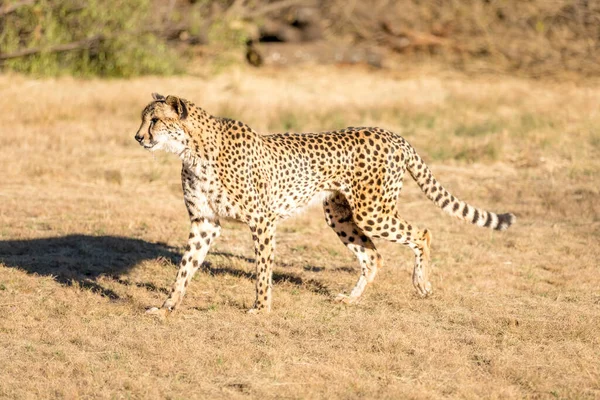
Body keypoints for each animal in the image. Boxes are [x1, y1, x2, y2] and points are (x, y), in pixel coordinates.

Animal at [135, 92, 516, 314]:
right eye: (143, 119)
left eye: (155, 120)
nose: (138, 137)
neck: (193, 150)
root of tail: (391, 133)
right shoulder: (205, 222)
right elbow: (185, 267)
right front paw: (167, 306)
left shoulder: (262, 220)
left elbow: (262, 270)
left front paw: (261, 309)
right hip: (340, 215)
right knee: (373, 255)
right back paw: (351, 299)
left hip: (372, 211)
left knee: (422, 233)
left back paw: (421, 284)